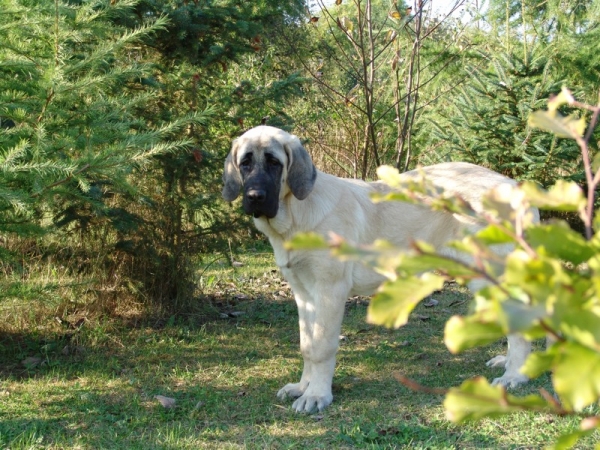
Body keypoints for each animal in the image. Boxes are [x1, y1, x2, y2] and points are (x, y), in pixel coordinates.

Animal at [223, 125, 532, 414]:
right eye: (245, 163)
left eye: (274, 162)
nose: (255, 196)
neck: (296, 213)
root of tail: (517, 187)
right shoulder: (304, 294)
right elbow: (307, 345)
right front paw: (302, 387)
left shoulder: (329, 290)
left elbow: (322, 347)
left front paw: (317, 395)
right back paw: (510, 364)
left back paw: (515, 376)